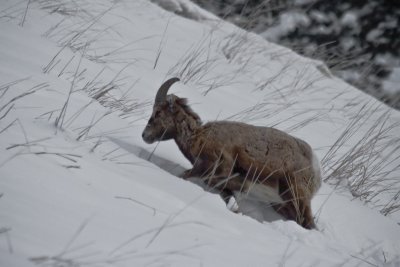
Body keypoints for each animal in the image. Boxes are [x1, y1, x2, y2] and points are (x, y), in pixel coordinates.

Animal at [142, 78, 320, 230]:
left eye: (158, 112)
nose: (145, 135)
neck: (198, 138)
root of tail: (315, 168)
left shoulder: (216, 167)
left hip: (297, 197)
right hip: (283, 204)